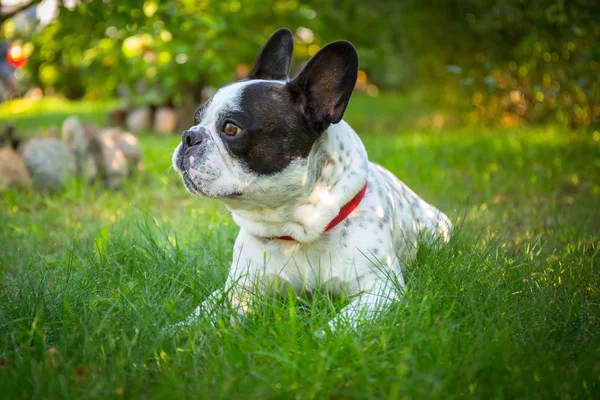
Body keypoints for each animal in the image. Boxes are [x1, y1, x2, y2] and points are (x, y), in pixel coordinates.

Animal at [169, 28, 450, 334]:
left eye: (231, 128)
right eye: (196, 118)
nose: (189, 135)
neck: (294, 229)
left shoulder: (379, 292)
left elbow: (335, 328)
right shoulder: (239, 290)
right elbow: (204, 311)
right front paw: (176, 331)